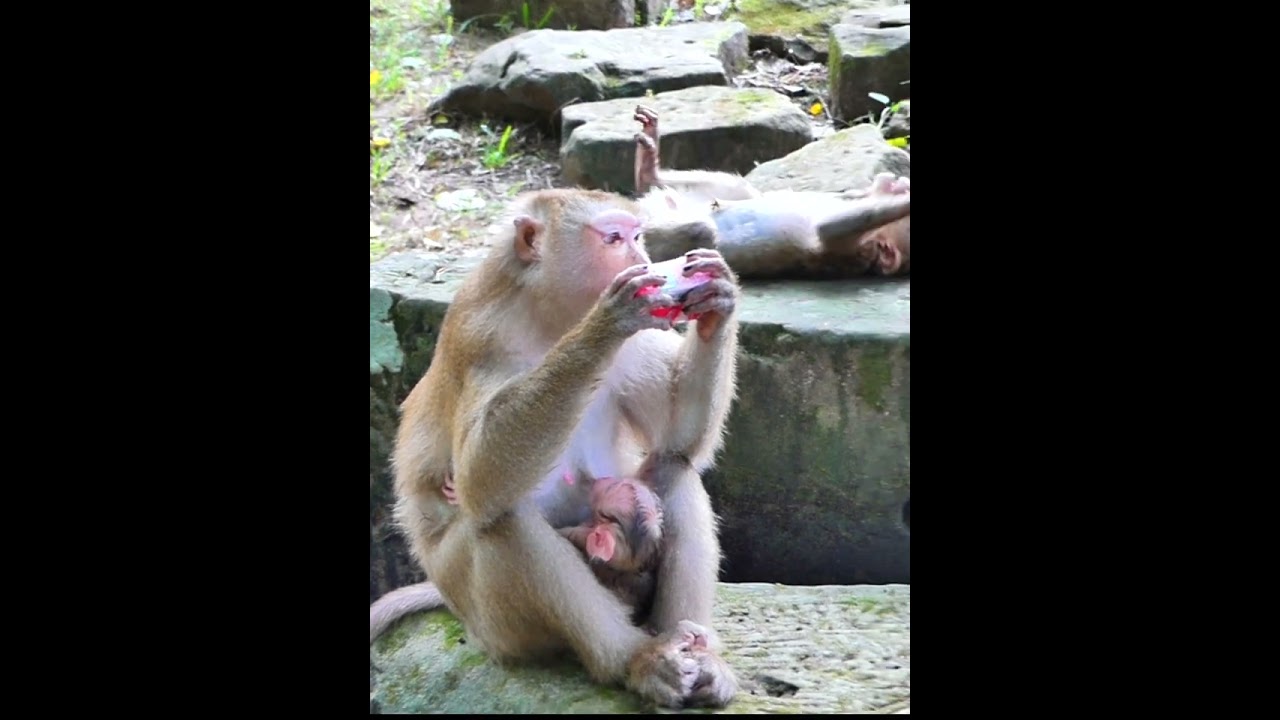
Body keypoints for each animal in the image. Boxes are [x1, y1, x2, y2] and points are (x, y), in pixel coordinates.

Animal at [368, 187, 742, 709]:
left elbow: (677, 439)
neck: (552, 316)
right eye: (613, 238)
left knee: (674, 469)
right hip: (495, 626)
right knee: (504, 521)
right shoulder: (484, 339)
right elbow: (479, 483)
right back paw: (635, 661)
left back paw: (697, 654)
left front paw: (717, 294)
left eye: (638, 236)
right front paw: (605, 324)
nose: (644, 261)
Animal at [629, 105, 911, 280]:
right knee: (740, 189)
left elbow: (827, 228)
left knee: (701, 230)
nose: (898, 181)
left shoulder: (850, 251)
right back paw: (648, 173)